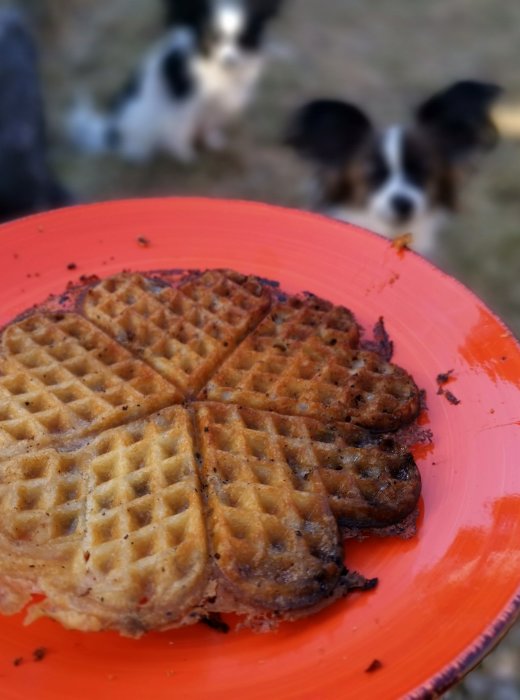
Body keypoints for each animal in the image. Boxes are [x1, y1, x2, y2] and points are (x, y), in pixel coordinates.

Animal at [69, 0, 284, 163]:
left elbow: (210, 125)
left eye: (242, 40)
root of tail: (112, 130)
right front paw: (185, 155)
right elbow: (181, 132)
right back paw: (139, 153)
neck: (213, 66)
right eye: (213, 39)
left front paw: (213, 141)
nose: (229, 60)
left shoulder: (215, 105)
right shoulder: (185, 106)